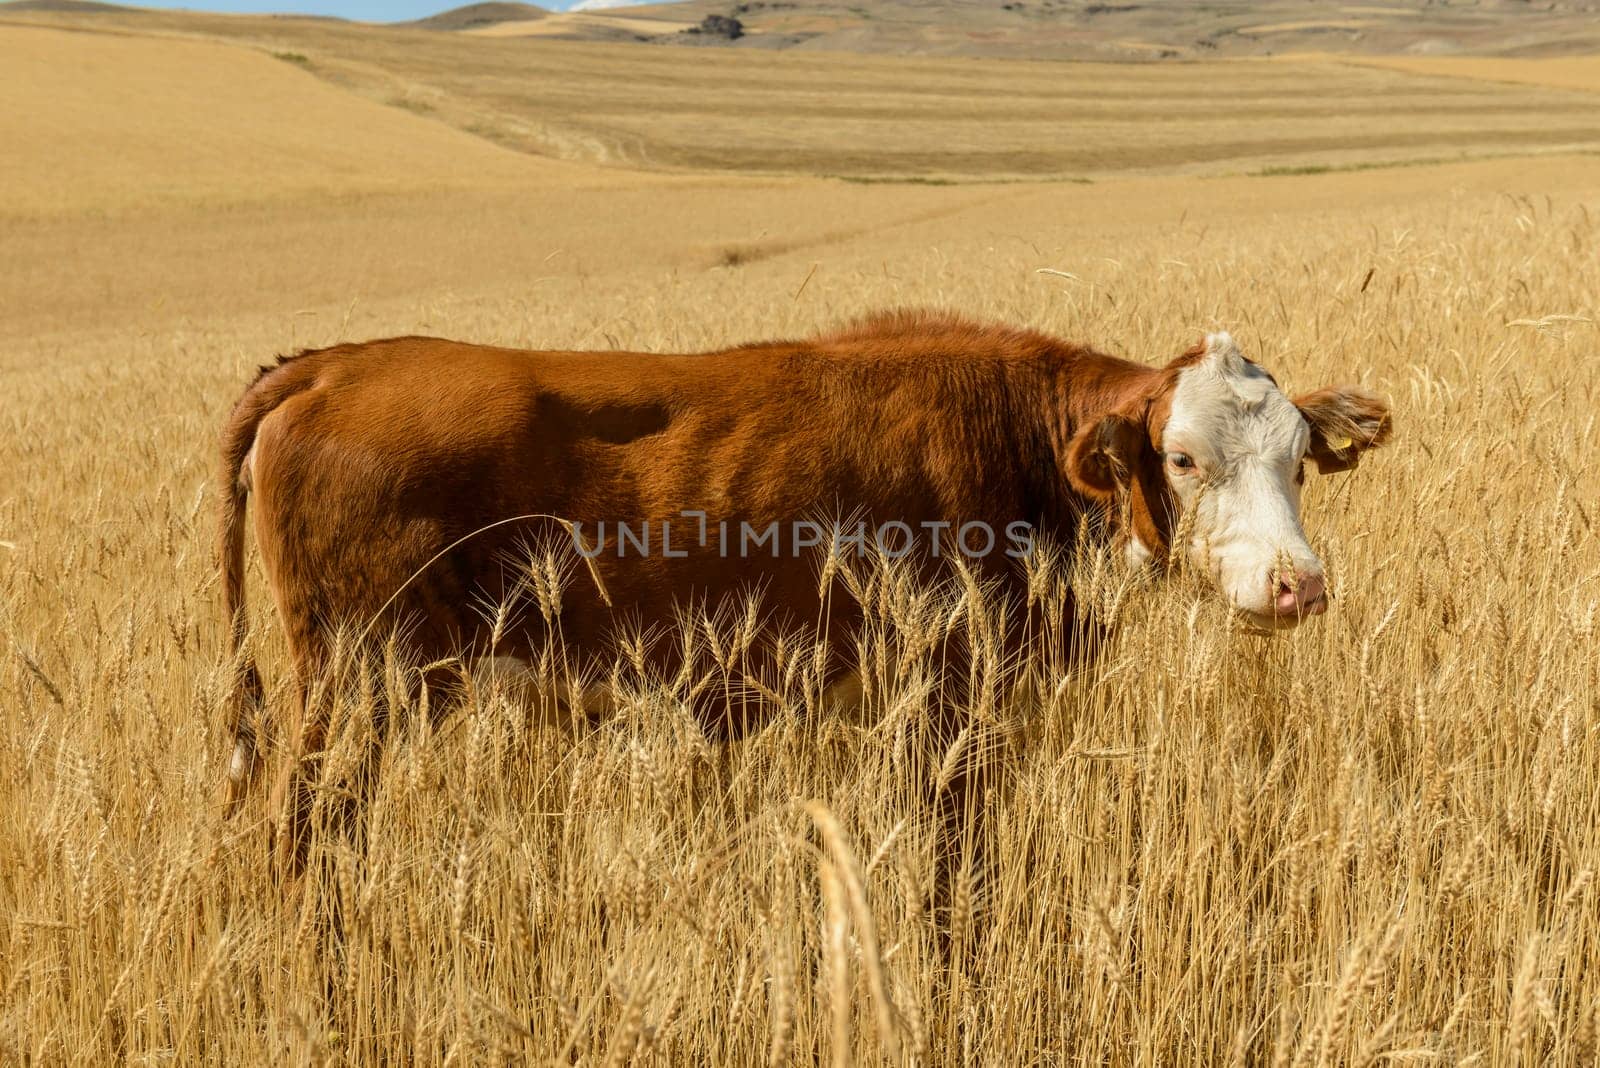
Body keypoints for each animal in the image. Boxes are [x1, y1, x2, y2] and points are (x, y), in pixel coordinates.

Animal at [219, 310, 1395, 876]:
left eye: (1298, 458)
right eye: (1184, 459)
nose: (1296, 585)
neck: (1016, 446)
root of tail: (333, 363)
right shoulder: (944, 710)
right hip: (357, 688)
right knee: (303, 836)